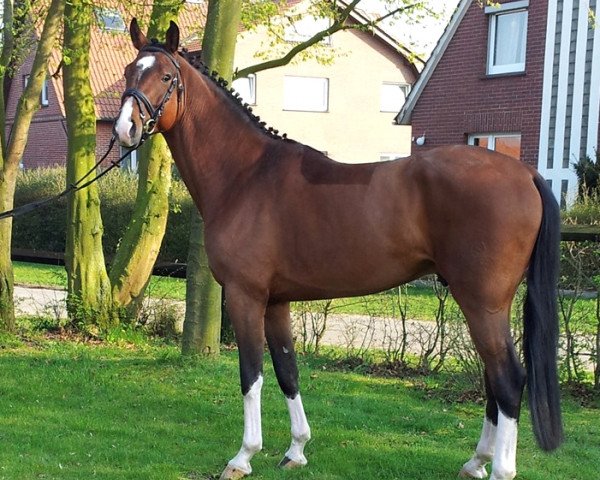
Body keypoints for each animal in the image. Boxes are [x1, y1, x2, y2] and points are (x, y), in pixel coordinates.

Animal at [116, 20, 564, 480]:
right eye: (129, 73)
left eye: (165, 77)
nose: (125, 128)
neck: (246, 175)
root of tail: (525, 173)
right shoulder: (276, 302)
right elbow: (287, 371)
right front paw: (296, 450)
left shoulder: (245, 296)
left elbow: (251, 374)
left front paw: (243, 456)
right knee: (493, 377)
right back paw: (476, 462)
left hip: (482, 302)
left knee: (508, 378)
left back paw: (500, 468)